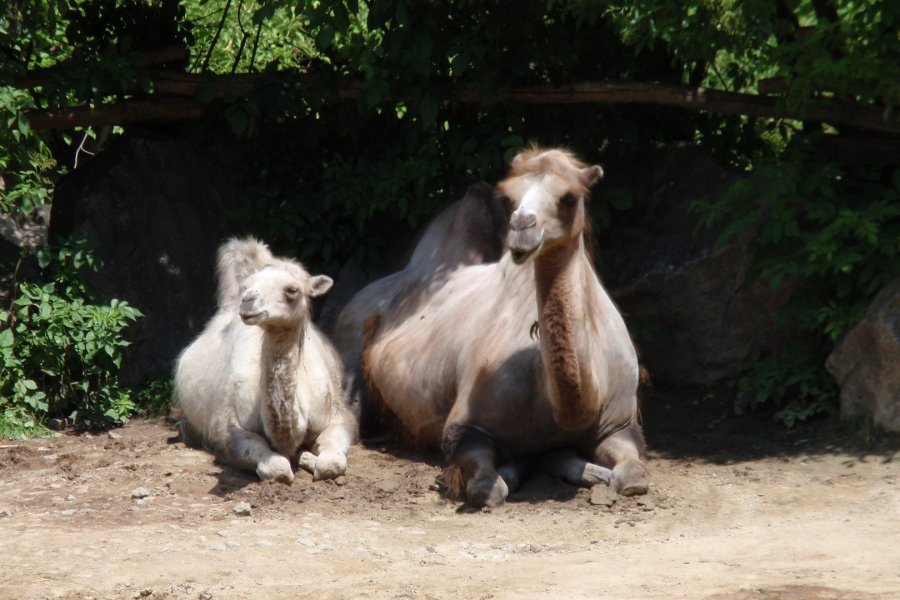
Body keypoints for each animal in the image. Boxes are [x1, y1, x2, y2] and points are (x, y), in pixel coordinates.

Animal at [172, 237, 356, 480]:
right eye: (246, 286)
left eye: (292, 290)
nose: (247, 300)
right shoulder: (229, 427)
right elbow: (277, 468)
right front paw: (297, 459)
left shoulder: (338, 416)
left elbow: (331, 462)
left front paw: (307, 457)